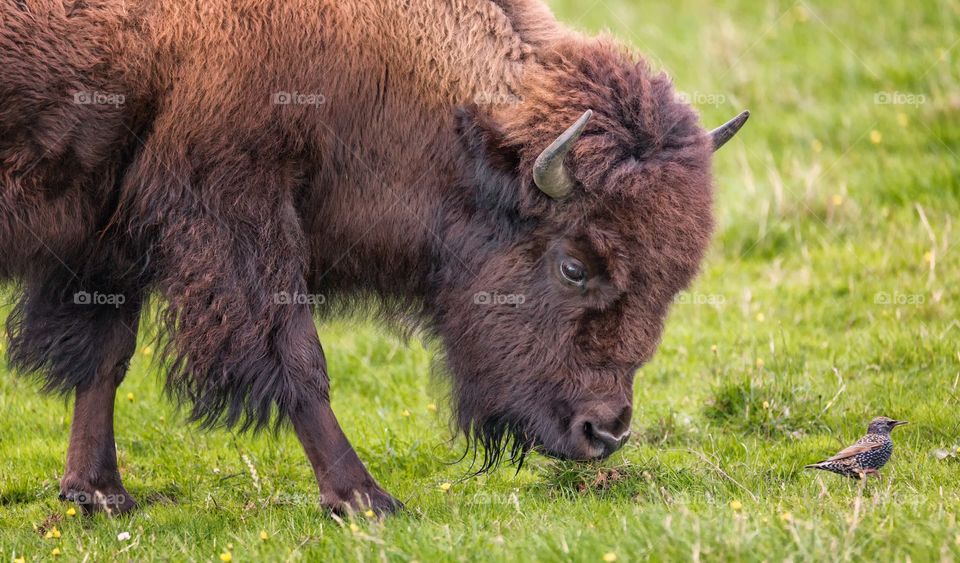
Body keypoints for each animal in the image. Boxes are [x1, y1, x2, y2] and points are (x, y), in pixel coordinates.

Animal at [0, 0, 747, 514]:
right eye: (574, 266)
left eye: (673, 282)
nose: (605, 432)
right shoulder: (236, 211)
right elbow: (298, 357)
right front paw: (363, 498)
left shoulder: (113, 222)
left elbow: (106, 356)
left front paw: (97, 493)